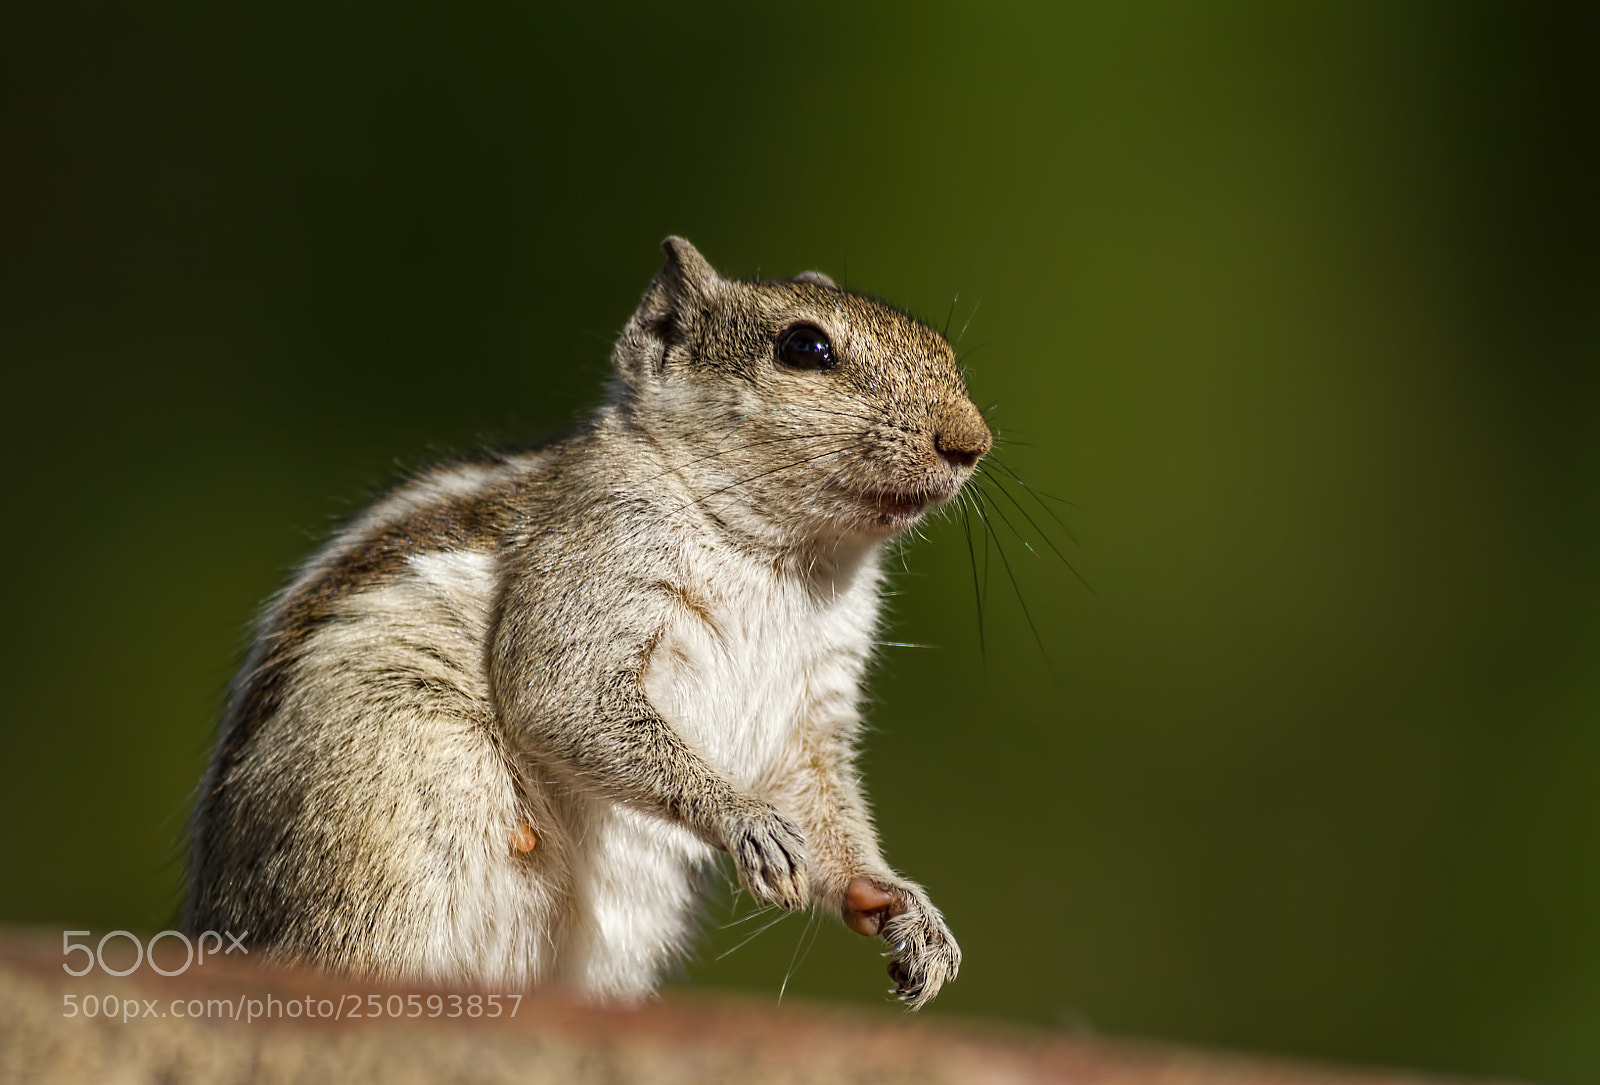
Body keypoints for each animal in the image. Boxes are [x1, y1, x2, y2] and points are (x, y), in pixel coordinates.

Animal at [185, 237, 992, 1010]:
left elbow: (825, 810)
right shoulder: (595, 559)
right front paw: (742, 817)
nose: (971, 443)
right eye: (805, 347)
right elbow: (563, 698)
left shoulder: (814, 708)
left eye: (946, 351)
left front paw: (898, 905)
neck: (782, 556)